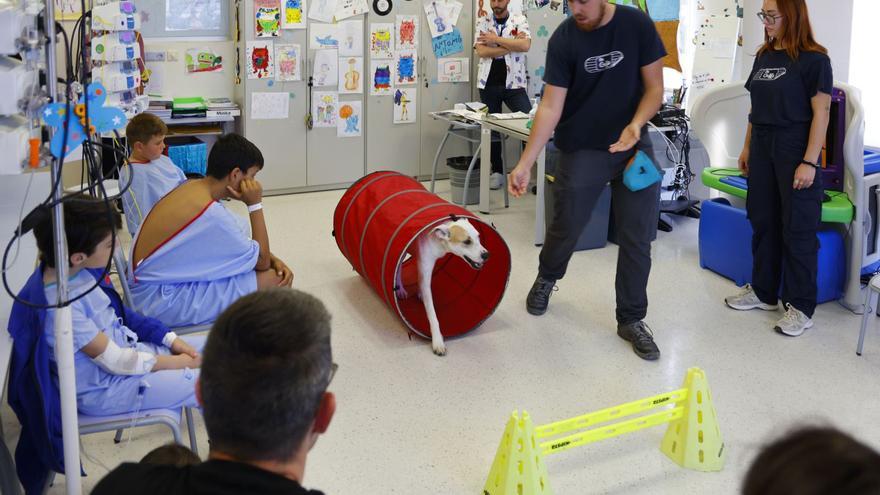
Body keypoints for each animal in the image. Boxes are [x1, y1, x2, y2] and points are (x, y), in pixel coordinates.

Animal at [396, 218, 492, 356]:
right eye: (467, 241)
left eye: (478, 237)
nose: (487, 255)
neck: (439, 241)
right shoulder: (425, 265)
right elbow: (433, 315)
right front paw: (438, 341)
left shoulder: (426, 268)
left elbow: (422, 283)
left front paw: (420, 292)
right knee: (398, 268)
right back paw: (400, 289)